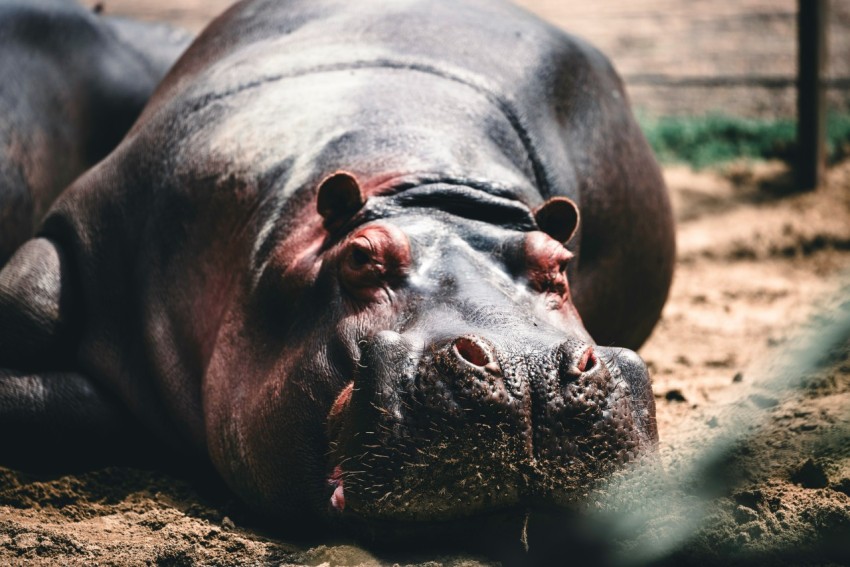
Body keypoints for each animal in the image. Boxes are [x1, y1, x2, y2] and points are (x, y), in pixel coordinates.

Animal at [0, 0, 674, 542]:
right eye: (359, 256)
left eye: (558, 263)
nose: (526, 369)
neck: (423, 182)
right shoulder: (88, 224)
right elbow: (27, 306)